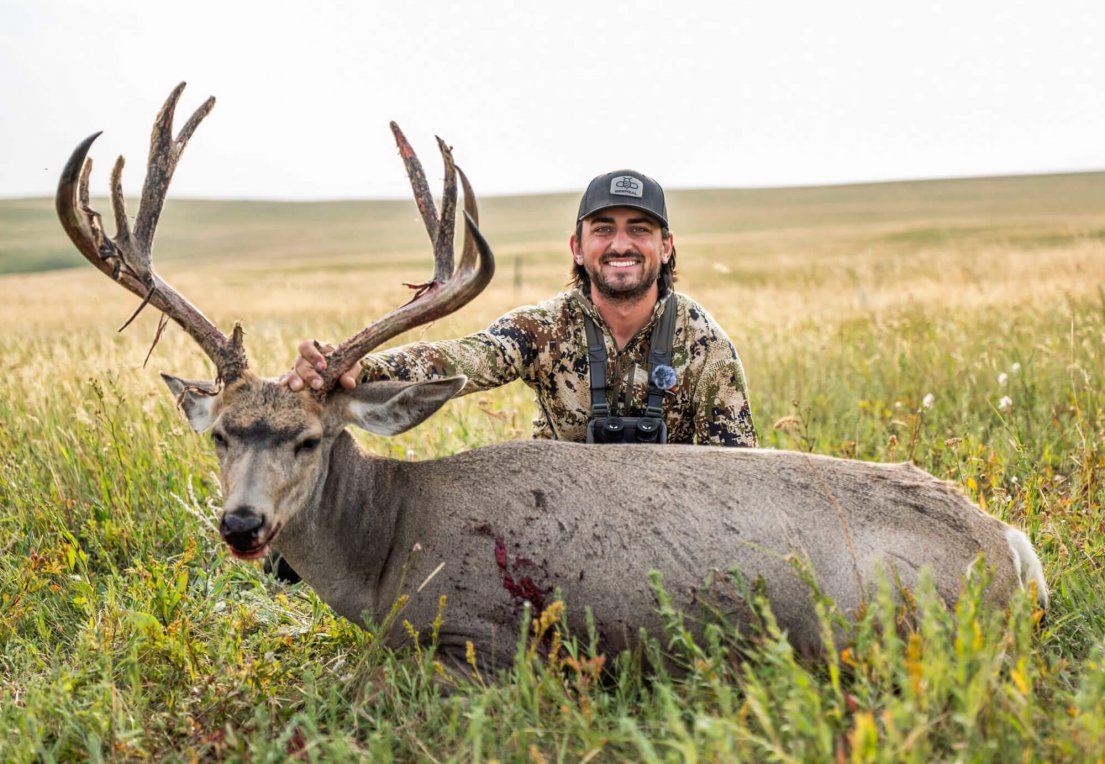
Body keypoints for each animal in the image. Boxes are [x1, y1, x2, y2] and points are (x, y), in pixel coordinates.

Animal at [57, 83, 1048, 675]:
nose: (241, 524)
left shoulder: (479, 638)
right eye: (222, 433)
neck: (385, 548)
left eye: (309, 438)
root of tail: (1010, 546)